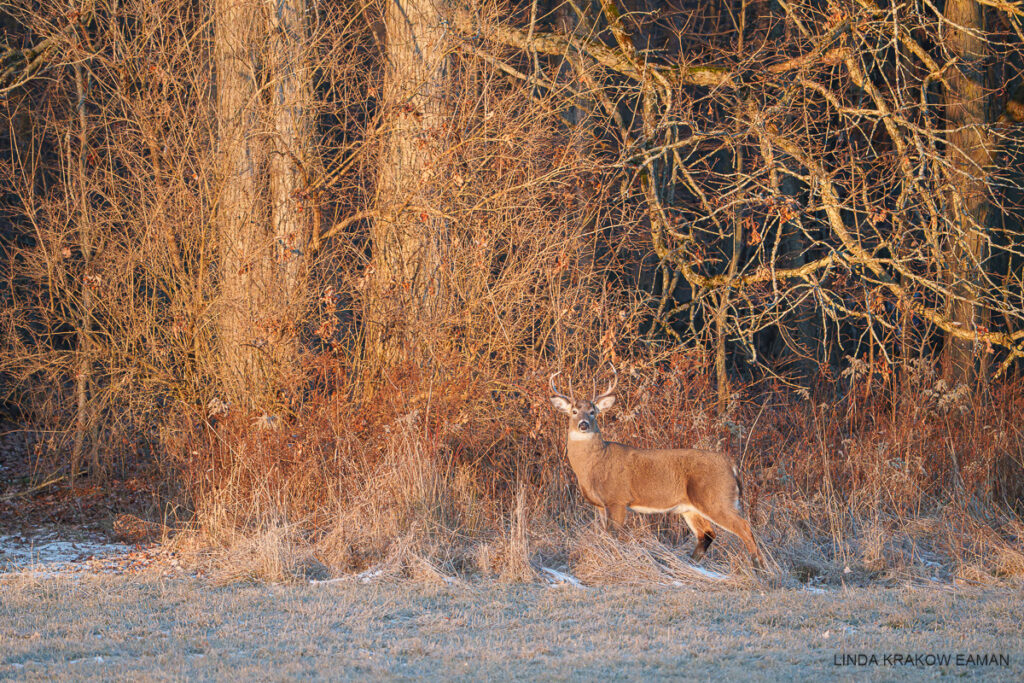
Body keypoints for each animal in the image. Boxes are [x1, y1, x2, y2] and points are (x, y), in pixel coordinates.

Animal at [552, 366, 761, 569]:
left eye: (593, 411)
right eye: (573, 411)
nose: (583, 424)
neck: (595, 464)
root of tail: (732, 465)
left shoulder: (617, 499)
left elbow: (614, 535)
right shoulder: (600, 505)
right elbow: (605, 535)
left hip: (717, 498)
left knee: (745, 528)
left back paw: (758, 569)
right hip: (691, 508)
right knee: (708, 534)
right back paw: (687, 565)